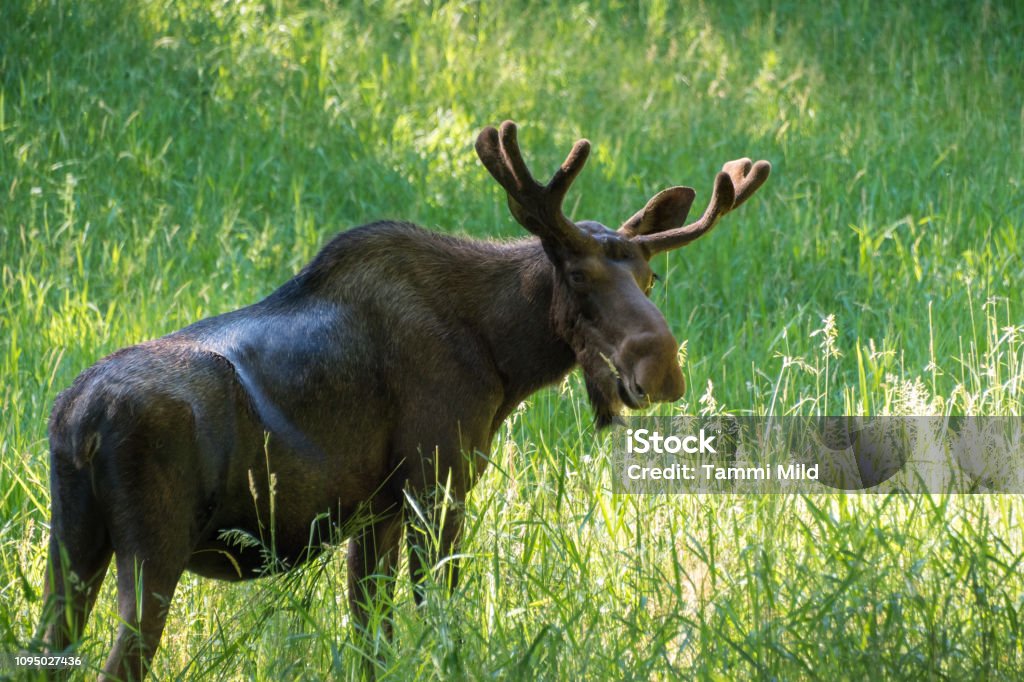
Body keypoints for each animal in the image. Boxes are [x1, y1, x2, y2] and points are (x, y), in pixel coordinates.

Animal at [36, 120, 770, 675]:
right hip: (152, 548)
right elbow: (442, 620)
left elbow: (373, 639)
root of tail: (79, 422)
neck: (503, 357)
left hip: (71, 542)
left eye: (650, 276)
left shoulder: (376, 510)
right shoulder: (438, 480)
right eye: (577, 273)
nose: (662, 367)